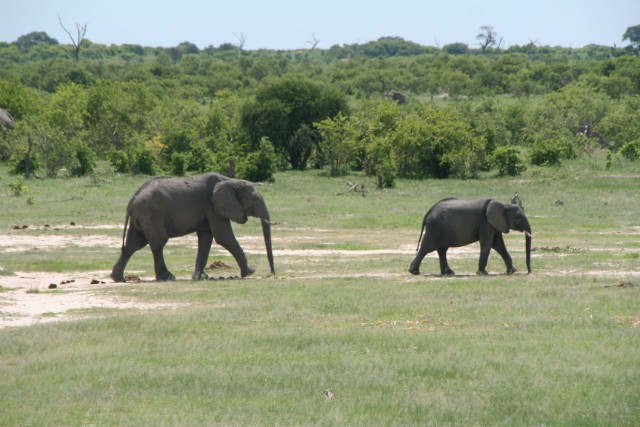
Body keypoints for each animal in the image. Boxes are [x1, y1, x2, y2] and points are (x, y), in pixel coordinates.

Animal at [110, 172, 276, 282]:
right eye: (254, 200)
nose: (272, 274)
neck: (231, 181)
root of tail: (131, 202)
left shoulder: (209, 209)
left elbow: (206, 238)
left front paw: (200, 277)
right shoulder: (213, 206)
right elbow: (223, 236)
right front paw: (250, 272)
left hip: (141, 218)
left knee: (133, 245)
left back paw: (118, 278)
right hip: (151, 215)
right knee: (157, 244)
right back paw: (167, 277)